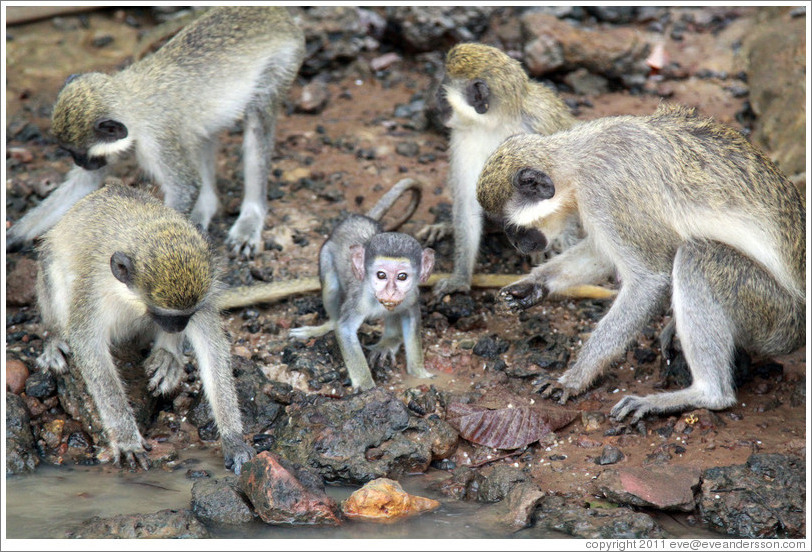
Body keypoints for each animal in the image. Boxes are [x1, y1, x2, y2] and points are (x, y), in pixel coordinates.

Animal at [5, 6, 304, 260]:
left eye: (79, 154)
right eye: (69, 153)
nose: (81, 163)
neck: (131, 101)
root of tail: (273, 12)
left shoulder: (157, 141)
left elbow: (184, 187)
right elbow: (85, 184)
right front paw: (12, 237)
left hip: (283, 60)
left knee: (258, 119)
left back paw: (250, 217)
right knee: (201, 134)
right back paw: (205, 209)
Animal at [34, 183, 254, 472]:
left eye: (187, 314)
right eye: (165, 314)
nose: (177, 327)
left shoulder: (203, 293)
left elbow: (212, 347)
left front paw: (233, 438)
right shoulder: (92, 290)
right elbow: (89, 347)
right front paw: (127, 439)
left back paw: (168, 356)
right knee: (52, 266)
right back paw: (55, 336)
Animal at [288, 179, 434, 390]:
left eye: (402, 277)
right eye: (381, 275)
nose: (390, 292)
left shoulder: (411, 295)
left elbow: (411, 316)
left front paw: (419, 372)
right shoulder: (359, 299)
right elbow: (345, 329)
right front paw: (367, 387)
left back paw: (389, 341)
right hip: (326, 253)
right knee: (331, 285)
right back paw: (326, 326)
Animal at [416, 43, 580, 298]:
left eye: (442, 92)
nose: (434, 101)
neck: (496, 124)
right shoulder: (464, 138)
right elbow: (467, 203)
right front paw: (460, 278)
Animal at [476, 103, 804, 422]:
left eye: (511, 227)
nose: (517, 245)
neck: (577, 161)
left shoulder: (606, 194)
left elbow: (648, 280)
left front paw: (574, 378)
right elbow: (602, 252)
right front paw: (533, 285)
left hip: (773, 315)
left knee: (697, 256)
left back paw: (704, 394)